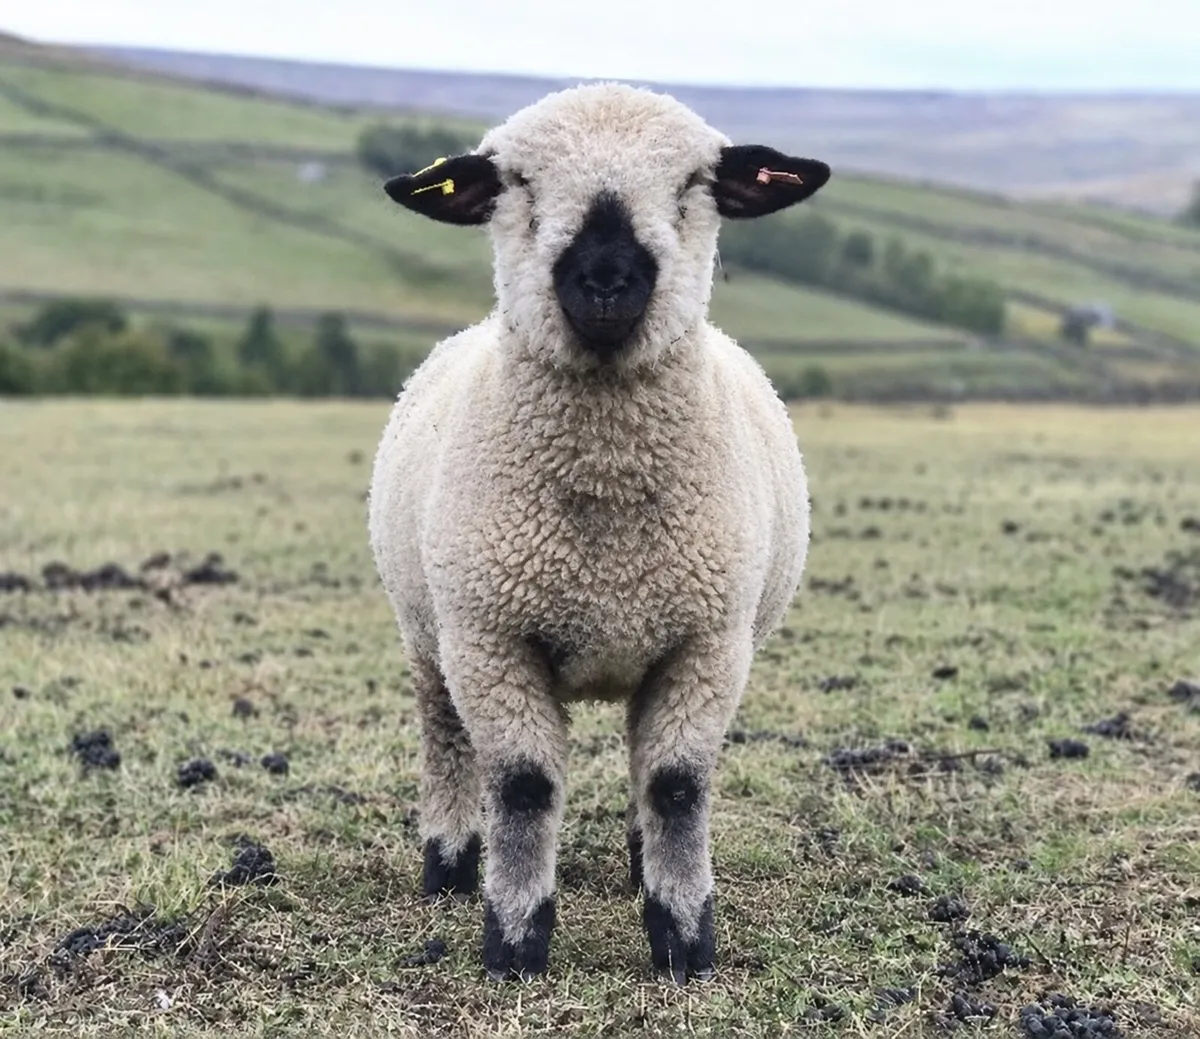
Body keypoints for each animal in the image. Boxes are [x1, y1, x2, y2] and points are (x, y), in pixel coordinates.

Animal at [367, 81, 831, 984]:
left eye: (693, 184)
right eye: (515, 184)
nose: (609, 277)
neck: (607, 490)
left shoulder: (708, 642)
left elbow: (676, 784)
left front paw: (683, 939)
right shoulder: (491, 638)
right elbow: (523, 786)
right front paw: (514, 943)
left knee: (643, 763)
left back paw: (636, 862)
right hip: (426, 630)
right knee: (445, 738)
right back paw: (448, 865)